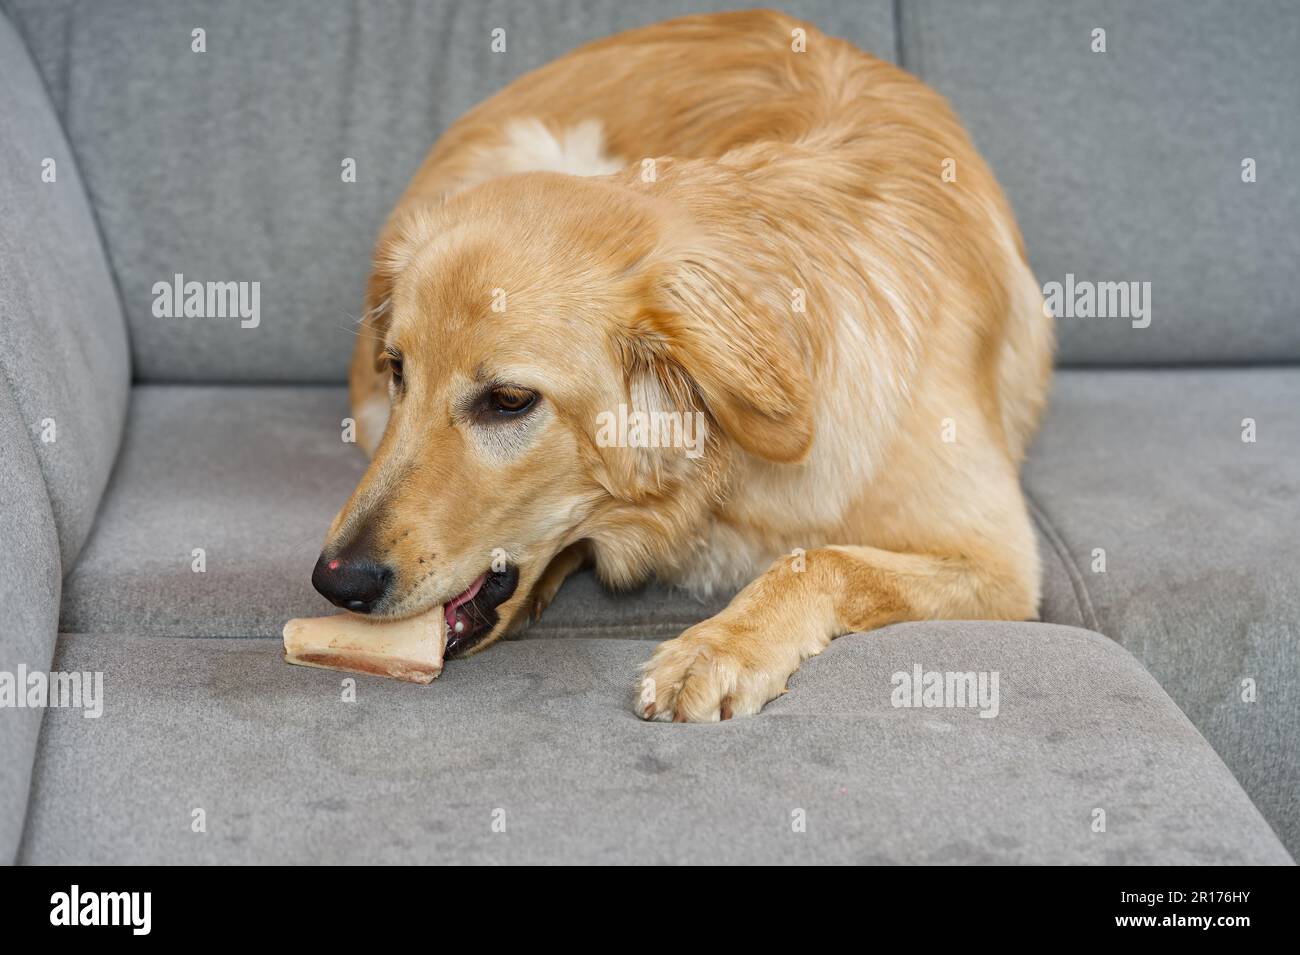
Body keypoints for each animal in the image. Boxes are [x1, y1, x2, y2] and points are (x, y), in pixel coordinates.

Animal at [314, 11, 1055, 722]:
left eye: (510, 400)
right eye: (398, 369)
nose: (335, 581)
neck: (723, 485)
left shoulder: (1000, 565)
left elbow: (823, 558)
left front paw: (720, 646)